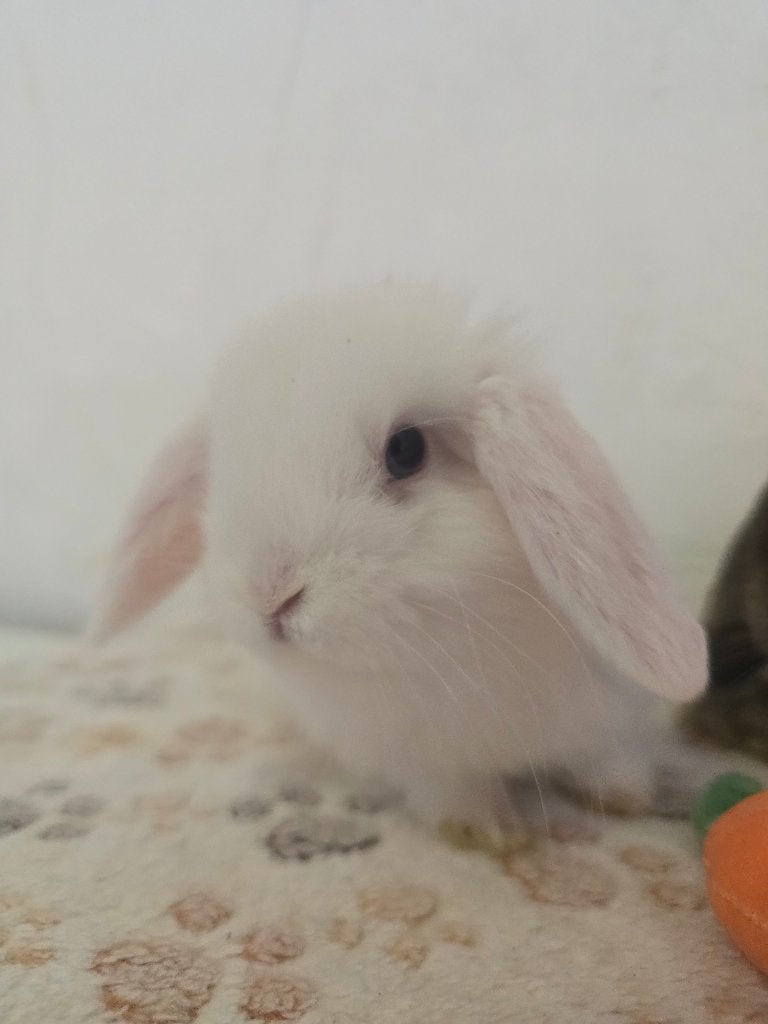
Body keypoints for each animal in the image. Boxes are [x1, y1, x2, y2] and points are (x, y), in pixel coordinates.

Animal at [88, 281, 709, 840]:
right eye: (219, 466)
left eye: (407, 450)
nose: (270, 595)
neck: (462, 653)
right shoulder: (416, 756)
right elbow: (451, 787)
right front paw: (484, 831)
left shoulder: (610, 715)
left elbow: (609, 757)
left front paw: (627, 798)